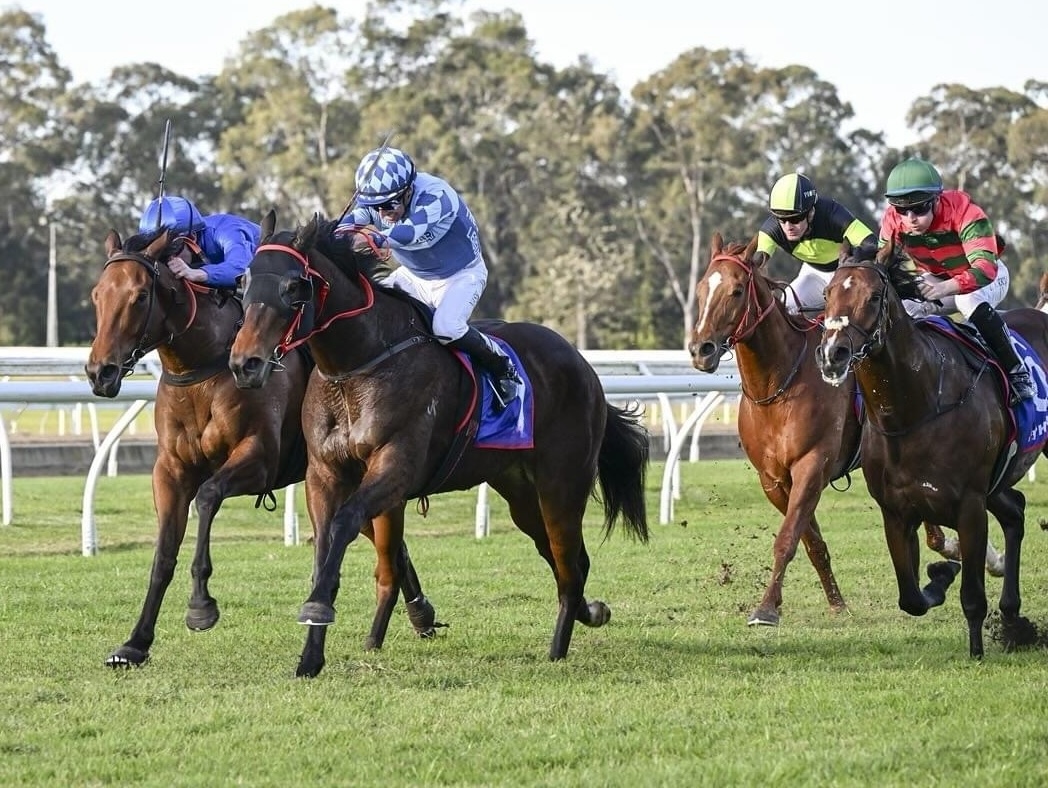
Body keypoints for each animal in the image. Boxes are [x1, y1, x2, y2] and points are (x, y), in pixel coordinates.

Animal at [84, 226, 438, 666]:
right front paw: (135, 643)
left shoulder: (258, 458)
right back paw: (421, 614)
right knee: (389, 541)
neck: (204, 367)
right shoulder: (170, 470)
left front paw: (201, 606)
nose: (100, 372)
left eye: (139, 296)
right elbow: (163, 554)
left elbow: (208, 496)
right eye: (97, 295)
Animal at [227, 210, 645, 679]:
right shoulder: (325, 474)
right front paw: (312, 655)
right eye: (244, 282)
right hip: (521, 493)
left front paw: (318, 609)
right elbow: (334, 548)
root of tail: (583, 366)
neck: (358, 366)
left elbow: (343, 527)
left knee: (568, 565)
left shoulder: (395, 466)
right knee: (566, 558)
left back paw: (558, 648)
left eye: (293, 286)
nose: (245, 364)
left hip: (562, 484)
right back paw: (590, 612)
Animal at [687, 232, 989, 628]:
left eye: (737, 291)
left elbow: (788, 537)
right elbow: (811, 541)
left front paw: (766, 609)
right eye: (701, 289)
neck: (778, 385)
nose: (701, 349)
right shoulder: (773, 479)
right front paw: (836, 602)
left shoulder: (812, 465)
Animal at [817, 239, 1048, 658]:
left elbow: (972, 596)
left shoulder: (970, 504)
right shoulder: (895, 510)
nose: (833, 354)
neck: (917, 407)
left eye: (874, 296)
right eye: (828, 293)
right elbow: (910, 598)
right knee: (1016, 512)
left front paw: (976, 651)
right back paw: (1012, 616)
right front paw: (940, 575)